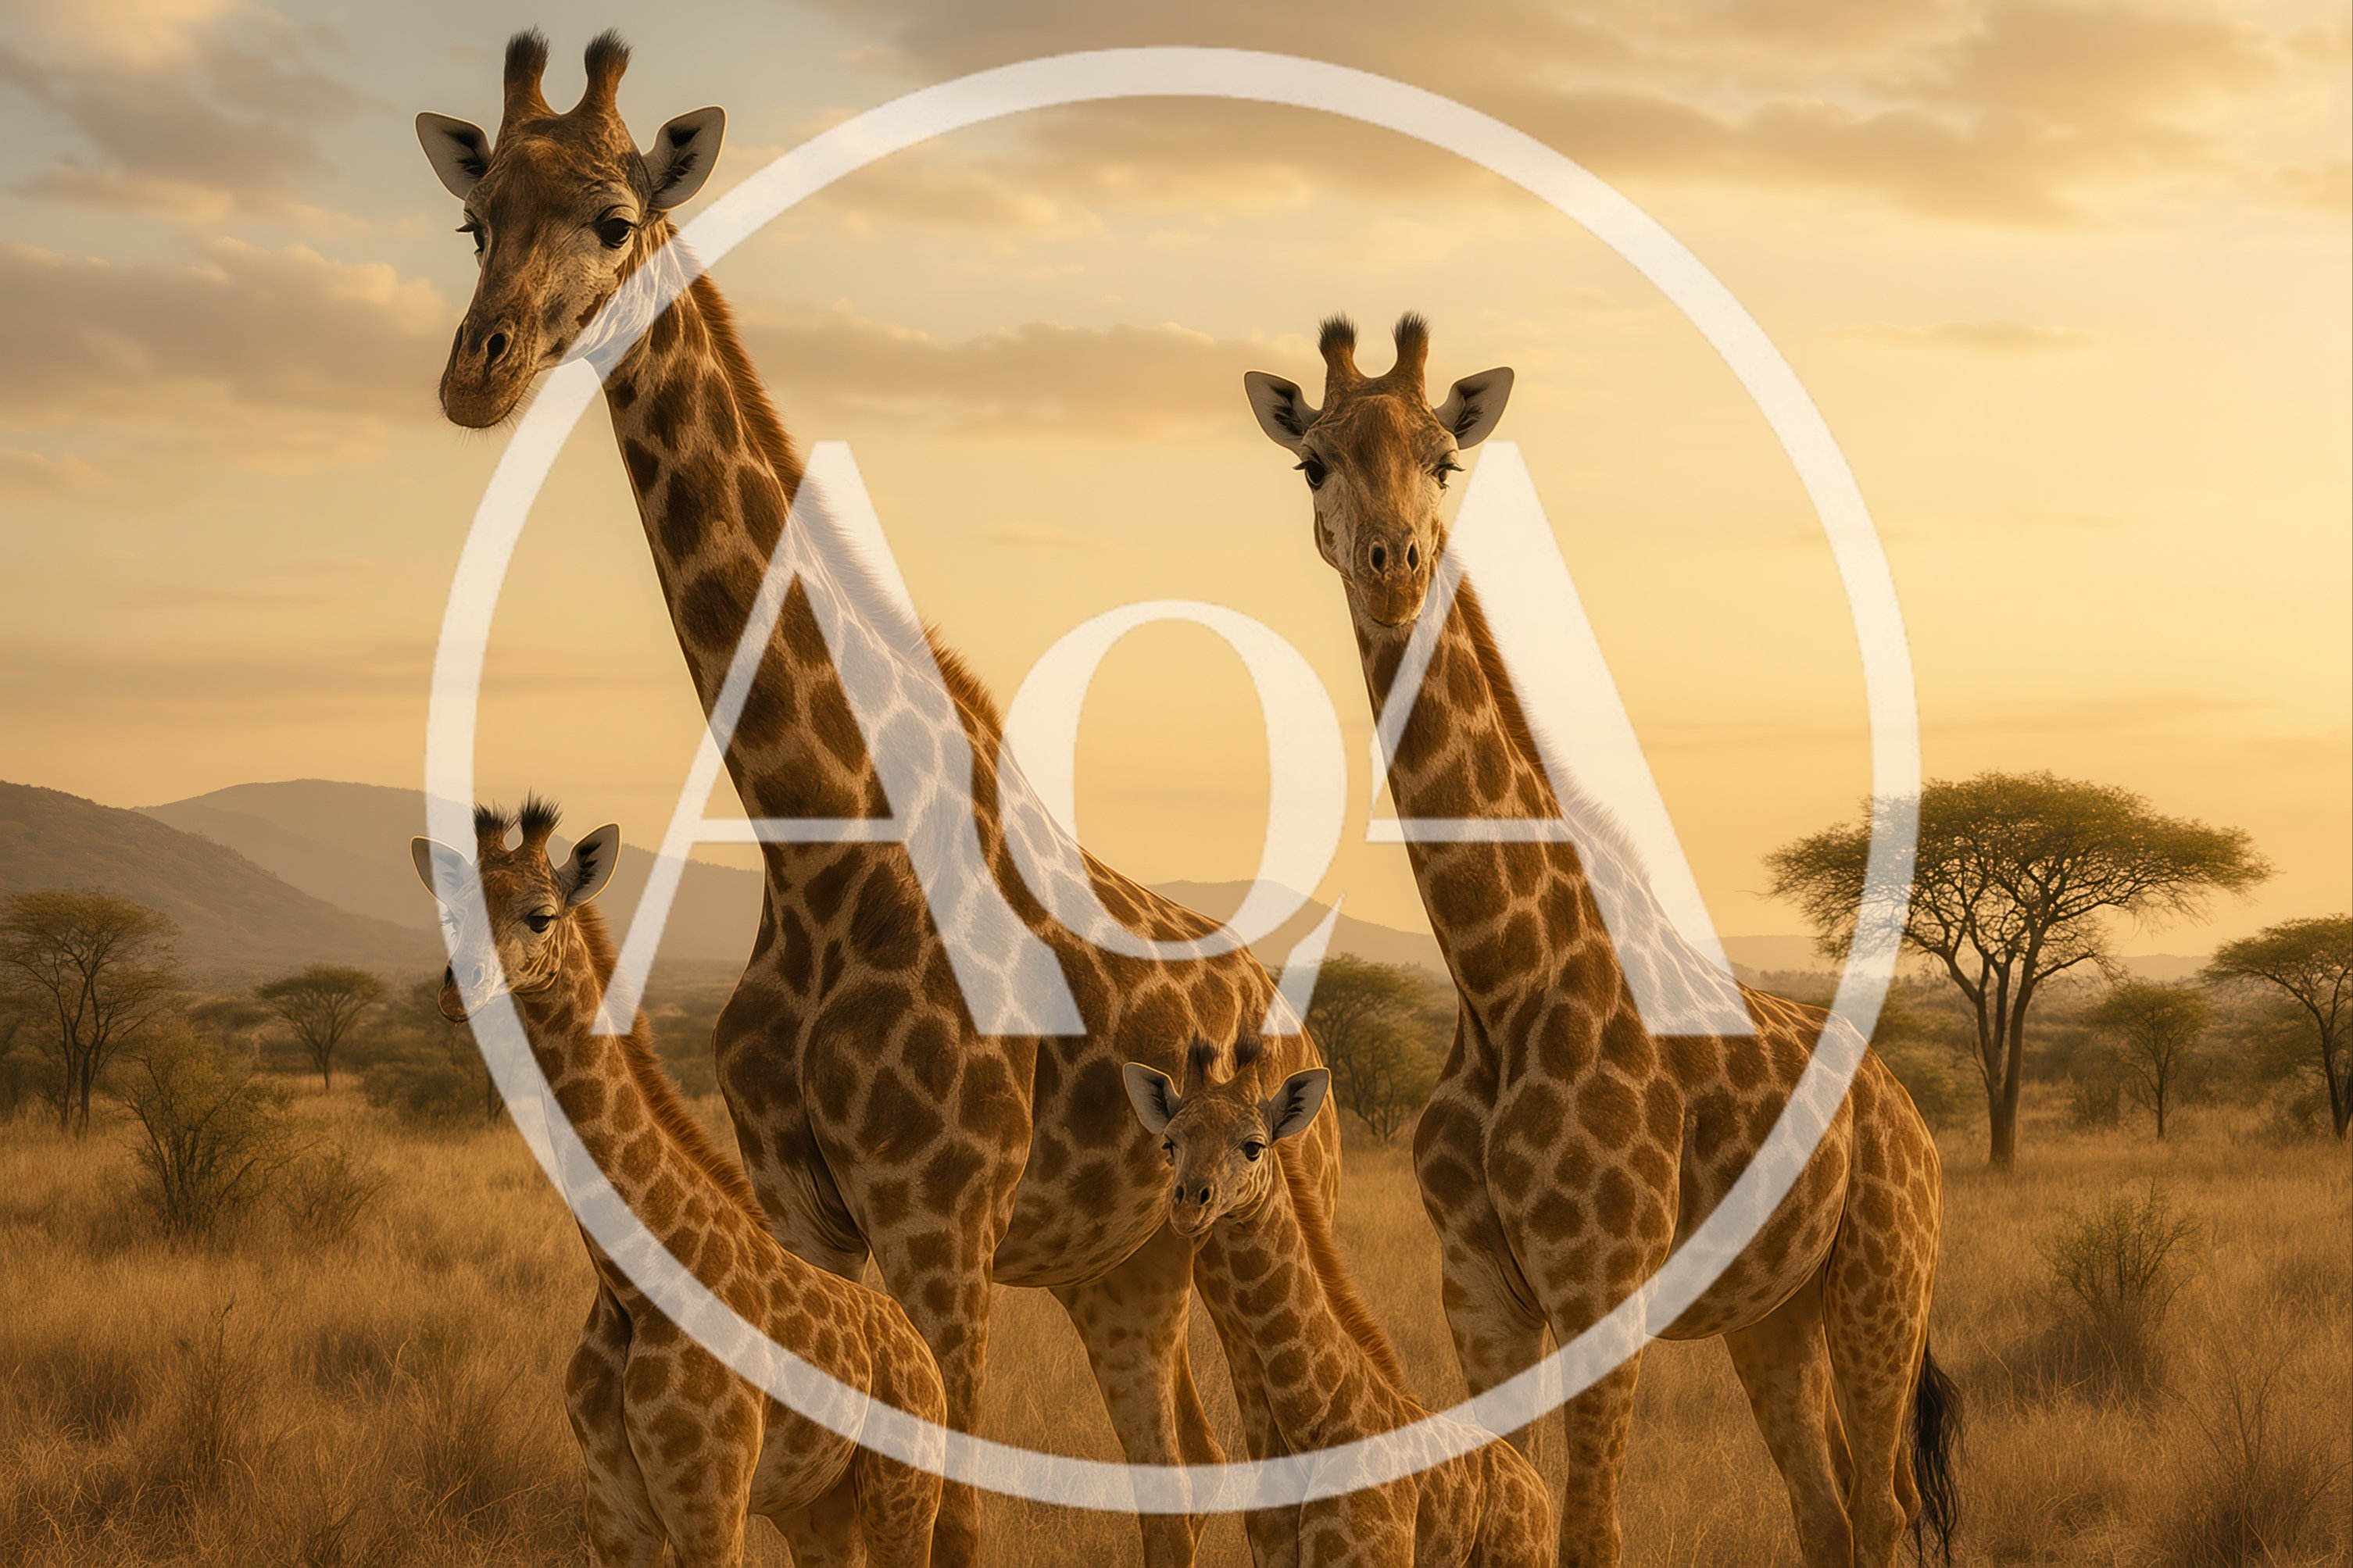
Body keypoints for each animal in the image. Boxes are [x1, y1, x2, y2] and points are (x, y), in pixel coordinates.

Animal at [411, 798, 946, 1567]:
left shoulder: (709, 1503)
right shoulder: (613, 1508)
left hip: (904, 1491)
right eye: (451, 914)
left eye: (540, 915)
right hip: (818, 1506)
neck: (632, 1289)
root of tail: (916, 1343)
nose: (458, 991)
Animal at [1125, 1039, 1557, 1567]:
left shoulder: (1364, 1555)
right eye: (1170, 1144)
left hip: (1522, 1555)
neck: (1311, 1420)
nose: (1190, 1203)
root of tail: (1536, 1488)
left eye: (1253, 1146)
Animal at [1241, 316, 1960, 1568]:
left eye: (1443, 460)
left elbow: (1588, 1532)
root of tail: (1906, 1108)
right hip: (1774, 1315)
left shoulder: (1601, 1287)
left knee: (1879, 1511)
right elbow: (1509, 1498)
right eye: (1312, 463)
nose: (1393, 566)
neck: (1499, 979)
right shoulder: (1476, 1291)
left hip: (1884, 1279)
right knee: (1823, 1514)